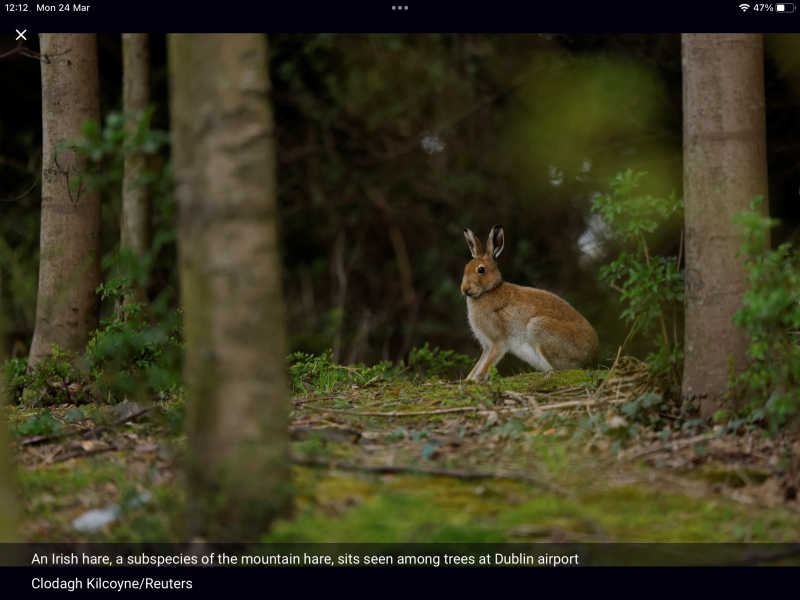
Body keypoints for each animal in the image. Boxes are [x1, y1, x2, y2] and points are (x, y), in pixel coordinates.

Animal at [461, 226, 599, 381]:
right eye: (466, 268)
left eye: (481, 270)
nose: (465, 289)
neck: (488, 290)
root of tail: (591, 357)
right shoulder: (487, 345)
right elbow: (480, 363)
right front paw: (468, 380)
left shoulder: (498, 342)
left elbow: (487, 364)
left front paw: (478, 379)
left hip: (537, 327)